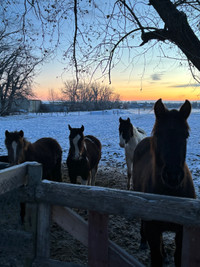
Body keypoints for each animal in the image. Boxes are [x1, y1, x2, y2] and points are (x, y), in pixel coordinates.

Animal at [132, 99, 196, 266]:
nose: (173, 176)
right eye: (159, 134)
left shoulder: (182, 231)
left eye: (185, 135)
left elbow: (178, 257)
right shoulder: (153, 229)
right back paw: (143, 242)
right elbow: (156, 257)